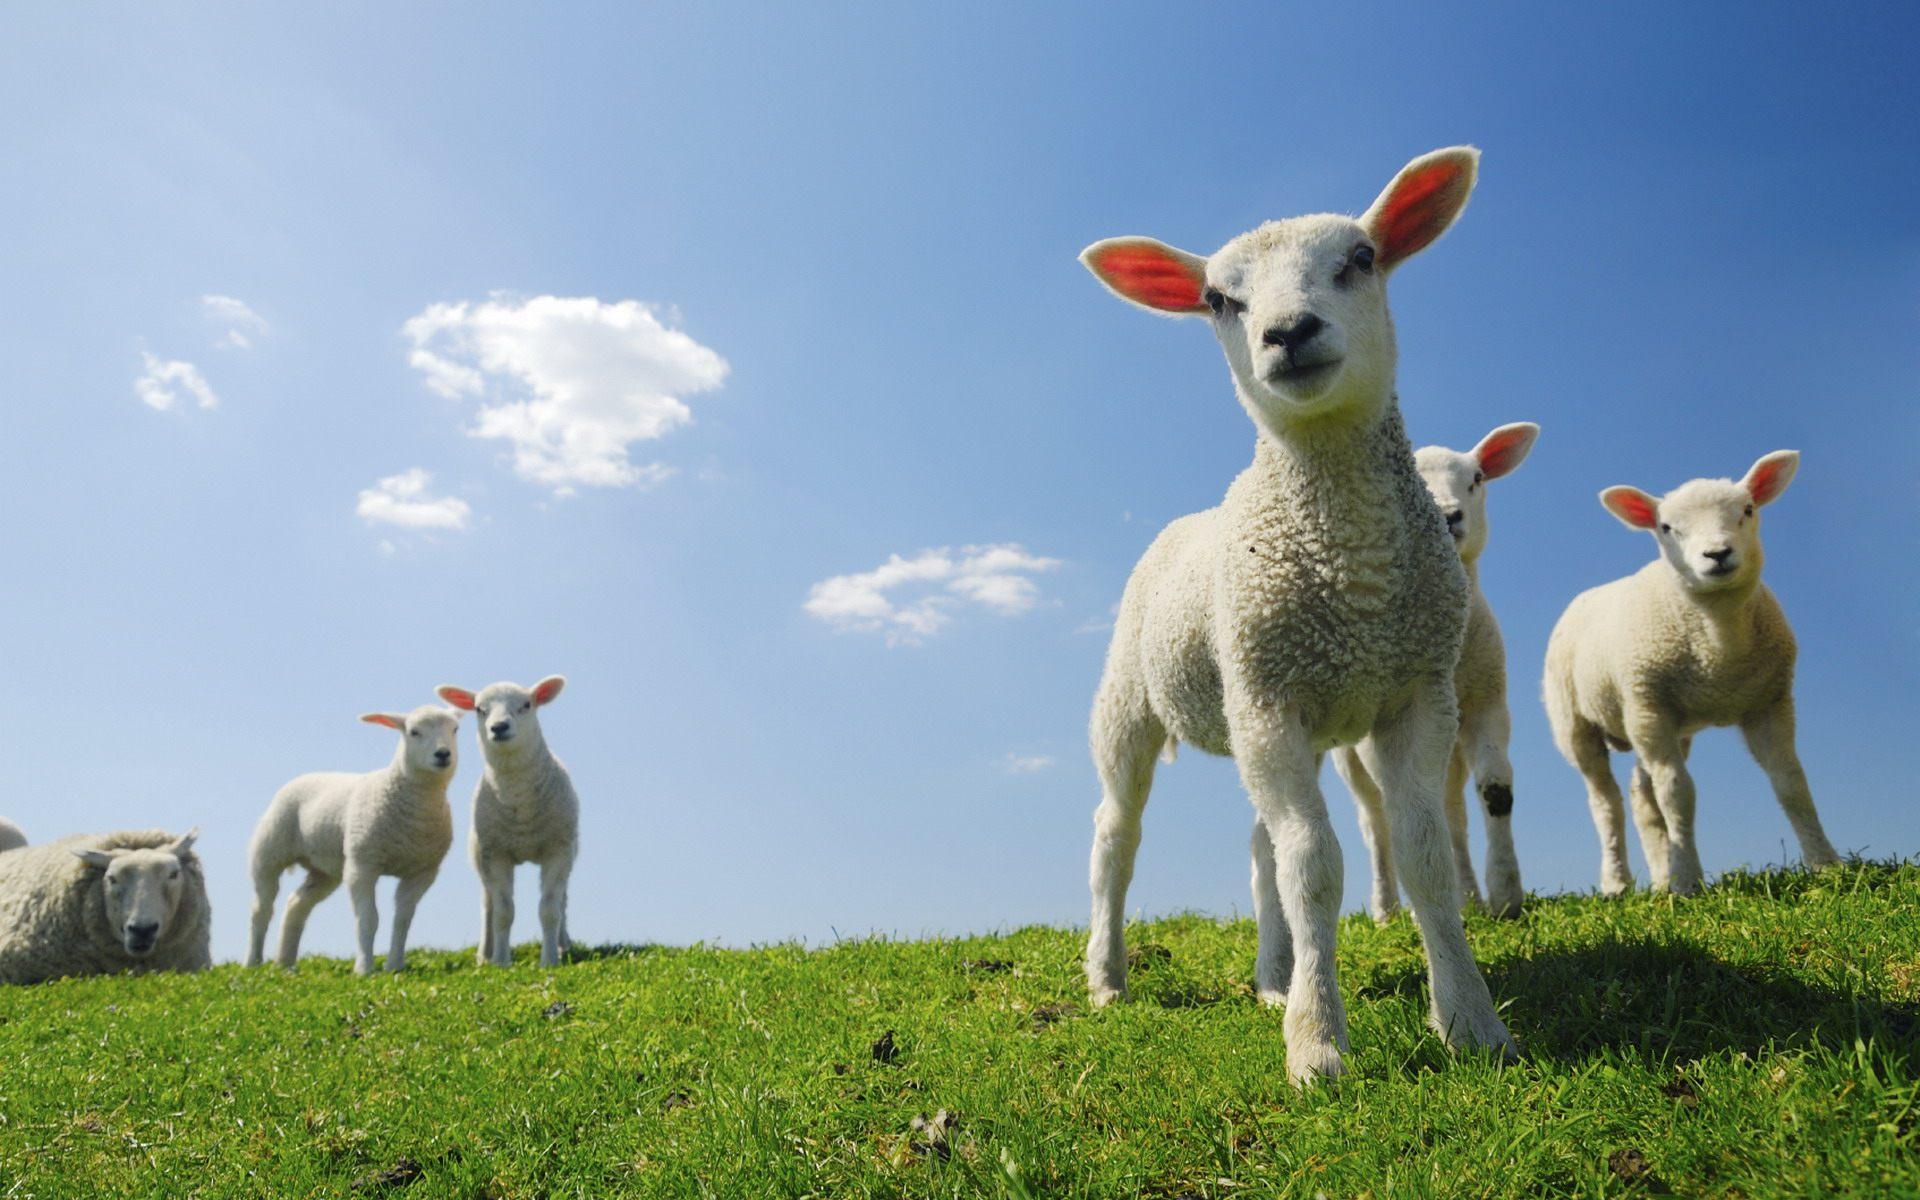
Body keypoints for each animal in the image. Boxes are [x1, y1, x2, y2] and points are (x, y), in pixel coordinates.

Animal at [246, 705, 461, 975]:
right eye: (414, 732)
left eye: (455, 729)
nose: (443, 754)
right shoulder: (362, 865)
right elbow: (368, 919)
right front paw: (364, 969)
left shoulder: (422, 872)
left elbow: (403, 920)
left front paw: (394, 966)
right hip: (269, 852)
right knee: (261, 909)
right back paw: (253, 962)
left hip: (325, 870)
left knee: (297, 904)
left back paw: (285, 962)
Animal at [435, 677, 578, 968]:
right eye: (479, 709)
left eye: (526, 705)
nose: (499, 727)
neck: (520, 803)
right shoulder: (496, 854)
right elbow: (503, 911)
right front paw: (501, 961)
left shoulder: (557, 850)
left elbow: (549, 908)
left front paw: (549, 960)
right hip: (480, 855)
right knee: (487, 904)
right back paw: (485, 954)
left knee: (563, 900)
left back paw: (563, 944)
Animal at [1078, 147, 1515, 1083]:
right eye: (1218, 299)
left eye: (1362, 258)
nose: (1288, 332)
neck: (1354, 573)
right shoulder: (1271, 699)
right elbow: (1315, 865)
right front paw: (1317, 1046)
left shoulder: (1415, 692)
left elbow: (1421, 854)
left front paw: (1470, 1021)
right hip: (1141, 702)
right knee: (1116, 838)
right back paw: (1107, 977)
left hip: (1277, 712)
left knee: (1260, 847)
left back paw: (1273, 976)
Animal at [1333, 422, 1538, 922]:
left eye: (1477, 479)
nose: (1448, 516)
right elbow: (1399, 814)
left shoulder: (1488, 701)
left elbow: (1495, 789)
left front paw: (1505, 894)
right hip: (1349, 755)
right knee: (1375, 820)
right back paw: (1386, 908)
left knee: (1450, 811)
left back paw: (1467, 895)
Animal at [1545, 450, 1841, 895]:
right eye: (1666, 527)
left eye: (1747, 510)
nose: (1717, 554)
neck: (1719, 649)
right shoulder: (1650, 706)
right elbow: (1677, 794)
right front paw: (1687, 881)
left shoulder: (1769, 703)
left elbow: (1791, 782)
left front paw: (1827, 864)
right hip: (1579, 721)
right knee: (1606, 801)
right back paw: (1617, 882)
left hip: (1654, 720)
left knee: (1641, 795)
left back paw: (1659, 878)